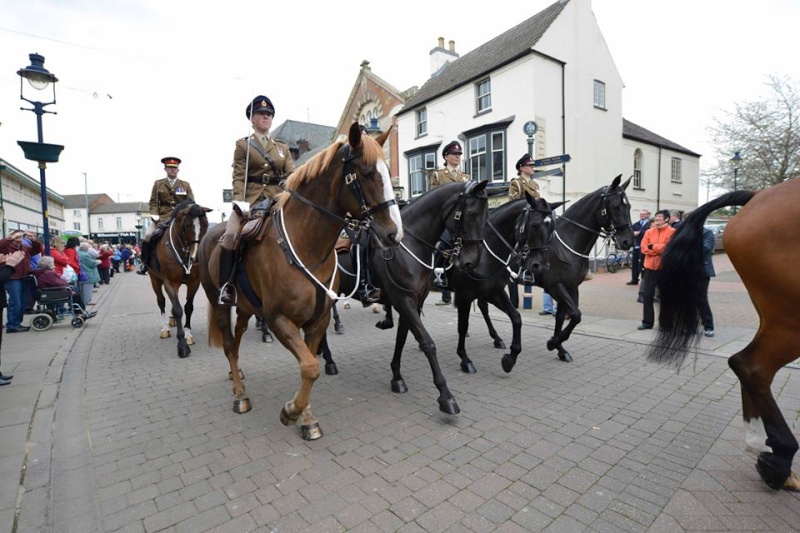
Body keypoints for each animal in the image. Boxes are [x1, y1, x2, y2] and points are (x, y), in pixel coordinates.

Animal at [147, 200, 209, 358]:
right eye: (187, 225)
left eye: (206, 224)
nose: (196, 257)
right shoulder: (170, 282)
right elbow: (178, 309)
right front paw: (181, 344)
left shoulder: (194, 283)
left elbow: (188, 308)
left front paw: (187, 334)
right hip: (154, 279)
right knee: (161, 301)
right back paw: (164, 328)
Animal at [198, 122, 404, 438]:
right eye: (368, 173)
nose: (395, 233)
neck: (305, 246)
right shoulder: (279, 319)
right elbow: (310, 366)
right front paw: (291, 411)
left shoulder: (317, 320)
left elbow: (311, 365)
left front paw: (306, 417)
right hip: (220, 303)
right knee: (230, 345)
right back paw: (240, 395)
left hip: (245, 307)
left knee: (237, 337)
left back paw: (237, 376)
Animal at [450, 193, 564, 372]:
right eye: (534, 225)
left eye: (553, 226)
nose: (541, 266)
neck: (485, 254)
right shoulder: (464, 295)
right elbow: (463, 325)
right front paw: (464, 358)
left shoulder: (495, 291)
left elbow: (516, 317)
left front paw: (510, 358)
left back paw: (497, 339)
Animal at [478, 175, 636, 362]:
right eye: (616, 206)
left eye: (629, 206)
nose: (627, 241)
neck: (568, 244)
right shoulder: (555, 287)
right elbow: (575, 314)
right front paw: (553, 342)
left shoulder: (571, 286)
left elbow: (564, 316)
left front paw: (559, 348)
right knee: (483, 304)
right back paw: (495, 338)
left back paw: (495, 338)